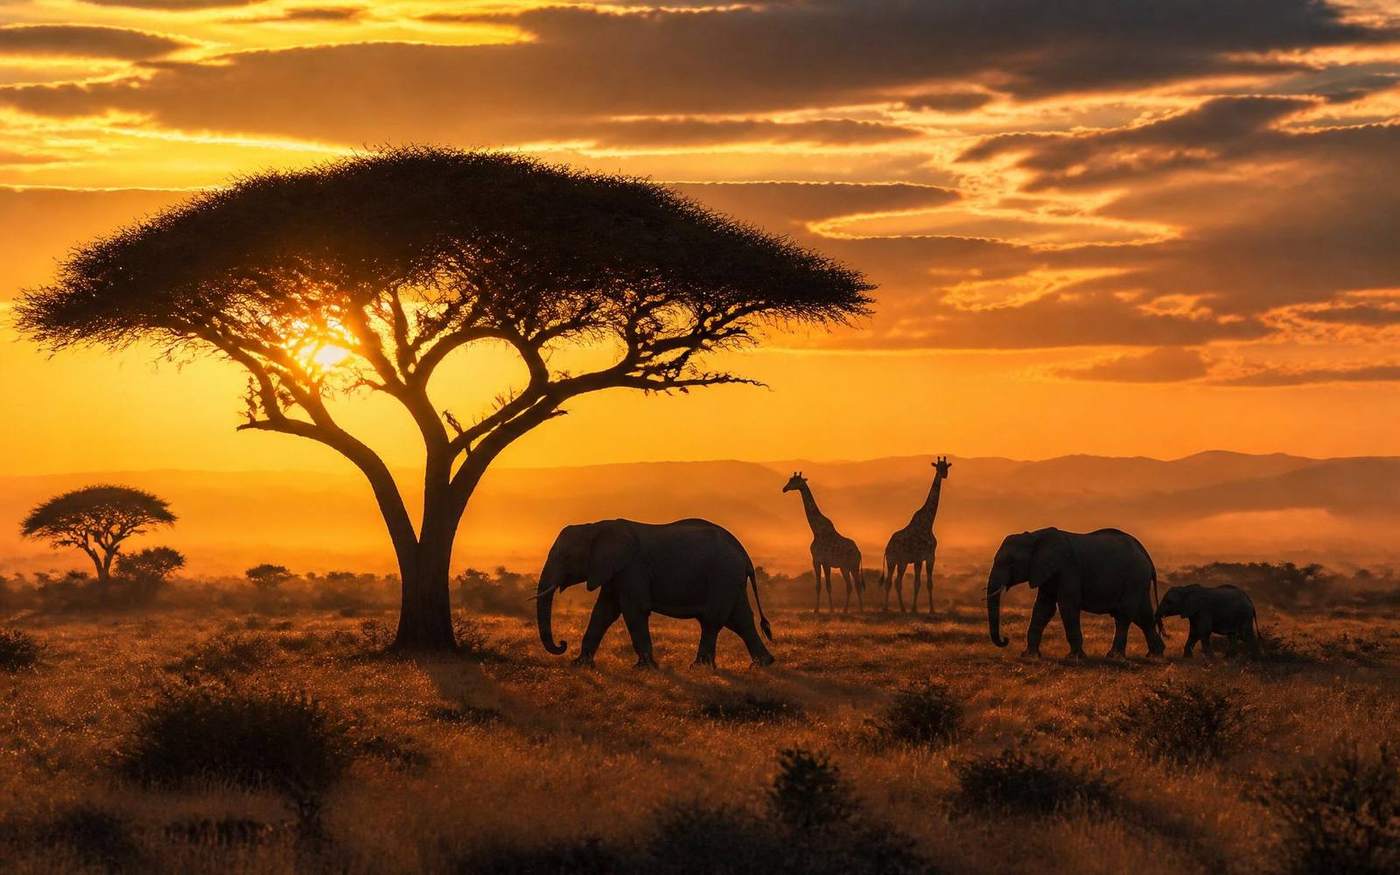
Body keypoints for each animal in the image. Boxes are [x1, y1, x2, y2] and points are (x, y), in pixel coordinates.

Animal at [534, 518, 775, 669]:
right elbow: (603, 612)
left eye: (565, 557)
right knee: (740, 620)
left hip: (723, 575)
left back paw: (699, 667)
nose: (562, 644)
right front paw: (579, 665)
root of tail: (744, 555)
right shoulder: (615, 572)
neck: (594, 526)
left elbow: (634, 611)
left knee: (713, 620)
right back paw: (762, 664)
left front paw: (644, 668)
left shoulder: (633, 568)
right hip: (730, 580)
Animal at [985, 527, 1166, 659]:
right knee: (1143, 616)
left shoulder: (1068, 568)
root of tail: (1146, 554)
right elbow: (1043, 608)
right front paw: (1029, 656)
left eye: (1010, 563)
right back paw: (1155, 655)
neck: (1034, 537)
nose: (1005, 640)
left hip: (1134, 577)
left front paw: (1074, 658)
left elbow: (1067, 606)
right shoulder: (1046, 573)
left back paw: (1114, 656)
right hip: (1139, 581)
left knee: (1124, 614)